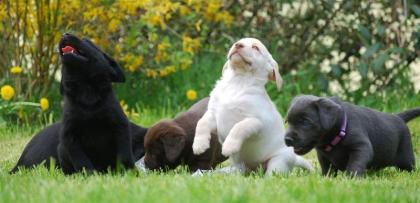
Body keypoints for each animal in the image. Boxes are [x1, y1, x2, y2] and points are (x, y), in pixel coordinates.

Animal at [193, 38, 312, 176]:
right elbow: (201, 123)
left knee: (272, 175)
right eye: (238, 42)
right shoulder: (213, 113)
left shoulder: (256, 121)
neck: (238, 81)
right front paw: (199, 145)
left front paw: (229, 146)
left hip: (278, 161)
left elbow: (238, 127)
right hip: (240, 167)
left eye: (256, 48)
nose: (238, 45)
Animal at [284, 95, 418, 176]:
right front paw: (325, 178)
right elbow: (327, 169)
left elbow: (355, 163)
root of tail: (398, 117)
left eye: (305, 122)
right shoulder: (323, 156)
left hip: (406, 158)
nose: (287, 139)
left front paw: (351, 178)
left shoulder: (361, 147)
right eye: (287, 121)